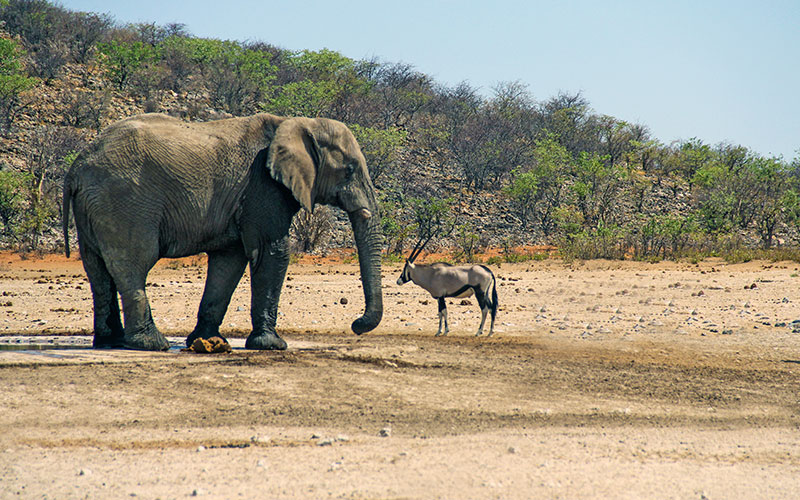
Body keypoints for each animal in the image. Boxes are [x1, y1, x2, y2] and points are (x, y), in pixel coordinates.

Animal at [61, 112, 384, 352]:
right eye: (349, 170)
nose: (355, 324)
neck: (295, 122)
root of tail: (76, 167)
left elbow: (229, 261)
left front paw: (208, 341)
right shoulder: (262, 187)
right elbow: (272, 252)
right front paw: (272, 345)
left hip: (94, 208)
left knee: (97, 269)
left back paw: (109, 342)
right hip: (124, 202)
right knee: (133, 263)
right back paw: (151, 344)